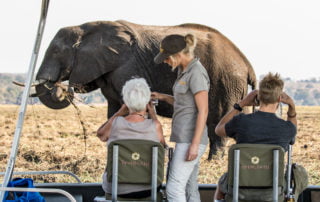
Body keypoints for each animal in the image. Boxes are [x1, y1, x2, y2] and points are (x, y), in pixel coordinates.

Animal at [34, 20, 255, 159]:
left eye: (56, 51)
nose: (60, 87)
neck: (86, 28)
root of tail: (246, 62)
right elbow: (114, 111)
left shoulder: (127, 67)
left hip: (225, 82)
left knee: (217, 123)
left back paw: (213, 161)